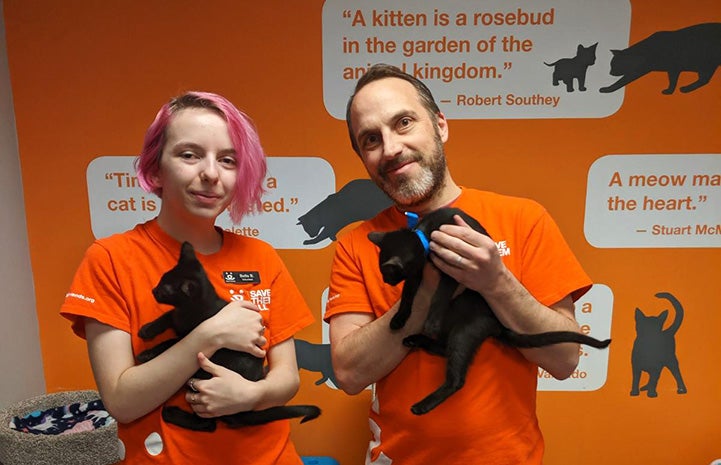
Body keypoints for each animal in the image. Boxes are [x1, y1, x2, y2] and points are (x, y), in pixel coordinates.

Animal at [138, 243, 320, 432]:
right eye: (161, 279)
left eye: (165, 290)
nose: (154, 290)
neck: (188, 309)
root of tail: (246, 410)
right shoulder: (177, 318)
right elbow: (167, 316)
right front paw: (147, 329)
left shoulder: (192, 336)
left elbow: (171, 342)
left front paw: (147, 354)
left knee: (208, 424)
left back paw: (171, 414)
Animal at [368, 207, 612, 414]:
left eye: (386, 273)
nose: (386, 280)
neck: (427, 232)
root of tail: (497, 324)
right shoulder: (417, 275)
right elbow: (408, 296)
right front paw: (398, 320)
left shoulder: (453, 269)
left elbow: (439, 296)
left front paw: (431, 322)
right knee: (444, 349)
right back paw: (414, 339)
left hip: (465, 331)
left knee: (456, 378)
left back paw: (422, 404)